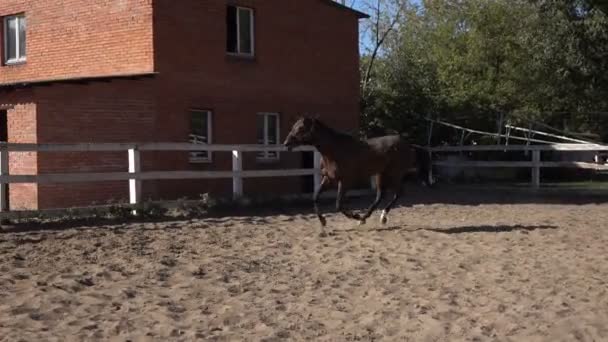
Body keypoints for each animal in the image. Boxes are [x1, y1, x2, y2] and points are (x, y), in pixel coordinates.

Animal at [284, 116, 432, 234]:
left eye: (301, 128)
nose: (286, 143)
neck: (335, 151)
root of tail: (409, 145)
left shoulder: (345, 181)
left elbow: (338, 205)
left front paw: (355, 216)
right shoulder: (329, 179)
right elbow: (315, 197)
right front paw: (324, 222)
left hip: (394, 174)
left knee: (398, 193)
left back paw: (379, 218)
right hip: (380, 174)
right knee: (380, 196)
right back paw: (366, 219)